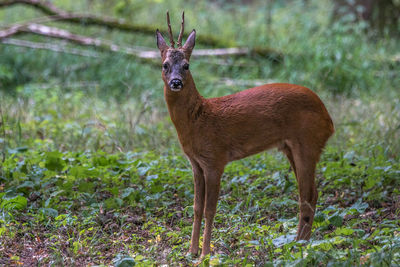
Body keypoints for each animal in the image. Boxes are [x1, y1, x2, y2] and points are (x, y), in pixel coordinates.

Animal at [155, 12, 334, 258]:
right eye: (165, 65)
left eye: (186, 65)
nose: (176, 82)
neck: (198, 119)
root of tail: (329, 119)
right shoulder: (195, 163)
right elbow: (196, 207)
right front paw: (190, 252)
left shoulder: (215, 159)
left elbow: (211, 209)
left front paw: (205, 254)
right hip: (291, 147)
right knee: (309, 194)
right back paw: (296, 244)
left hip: (309, 142)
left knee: (308, 195)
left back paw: (300, 247)